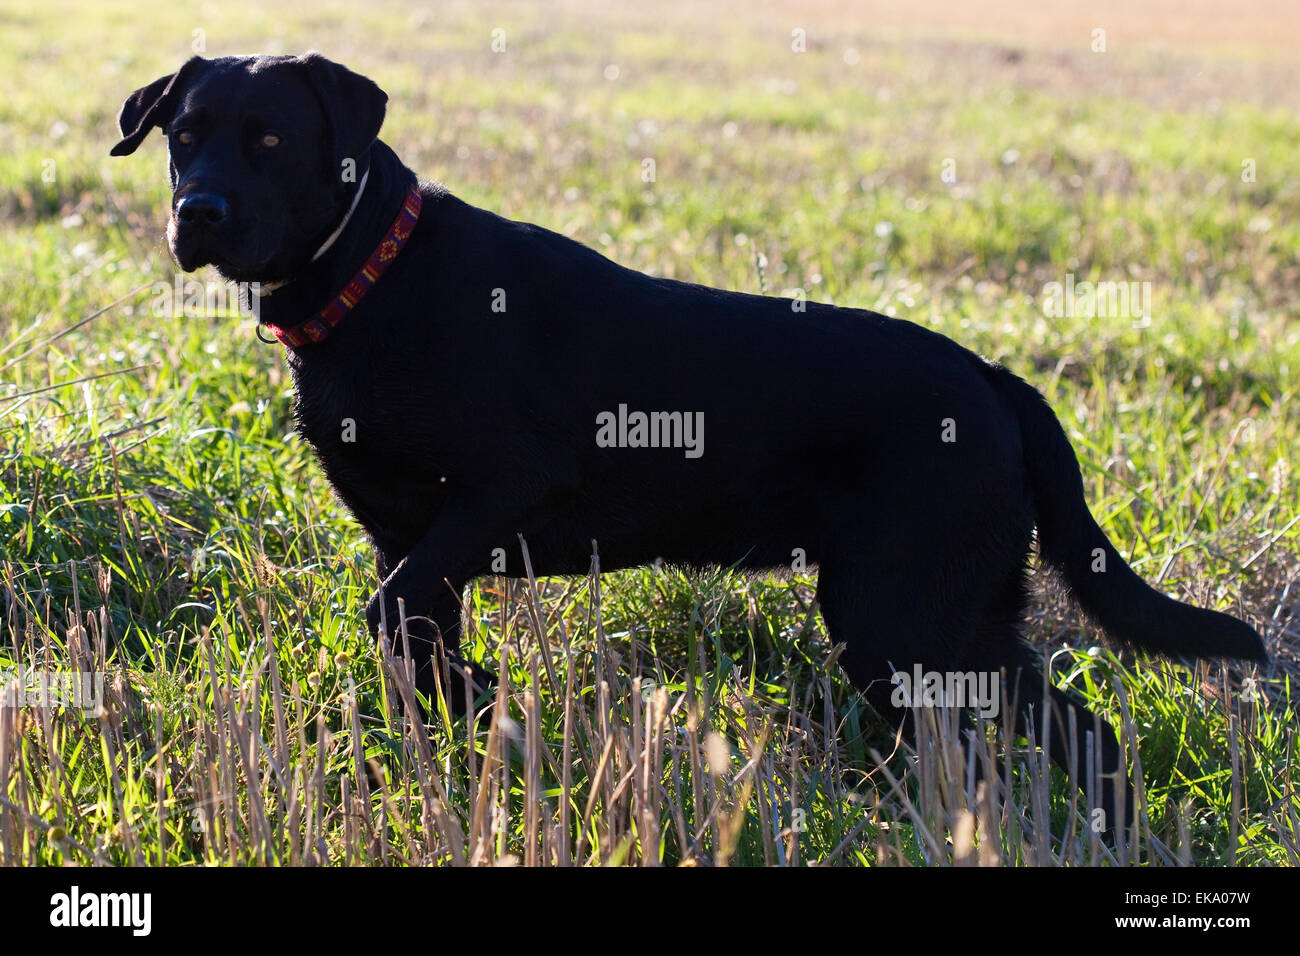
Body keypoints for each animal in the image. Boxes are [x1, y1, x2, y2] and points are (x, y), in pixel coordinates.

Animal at [114, 52, 1268, 837]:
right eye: (185, 133)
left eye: (270, 140)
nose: (198, 210)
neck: (370, 275)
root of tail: (992, 378)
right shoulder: (411, 536)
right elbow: (412, 639)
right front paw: (474, 731)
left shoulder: (505, 490)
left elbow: (392, 612)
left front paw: (495, 716)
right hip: (945, 622)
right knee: (1029, 734)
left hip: (904, 617)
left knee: (1058, 733)